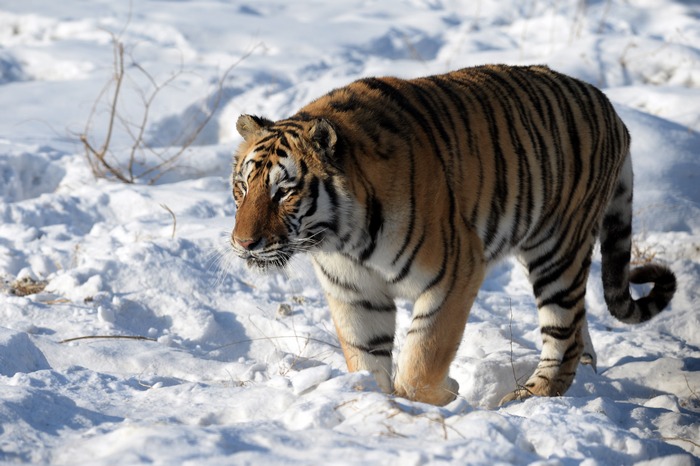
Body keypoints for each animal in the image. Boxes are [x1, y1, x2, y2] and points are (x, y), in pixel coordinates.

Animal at [230, 64, 676, 406]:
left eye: (284, 192)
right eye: (243, 187)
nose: (243, 244)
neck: (343, 239)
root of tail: (610, 107)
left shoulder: (454, 272)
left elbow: (423, 355)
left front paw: (432, 401)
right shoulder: (354, 292)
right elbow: (366, 359)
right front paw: (373, 405)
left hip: (558, 251)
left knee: (563, 335)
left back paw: (527, 398)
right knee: (579, 330)